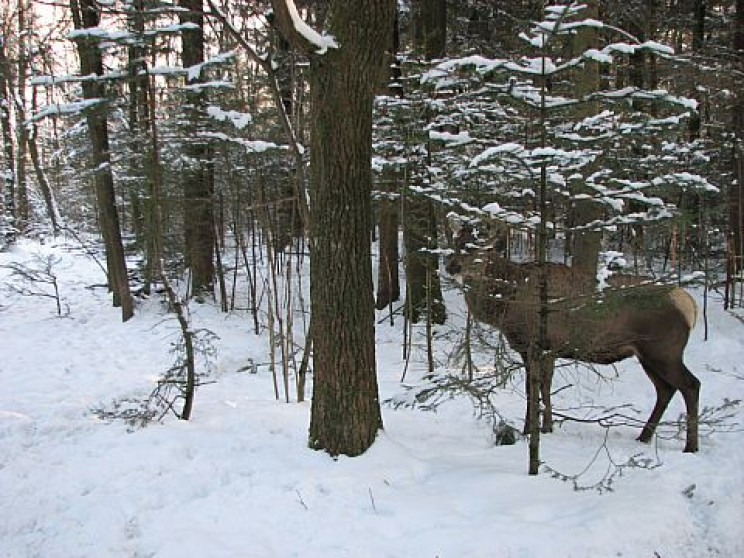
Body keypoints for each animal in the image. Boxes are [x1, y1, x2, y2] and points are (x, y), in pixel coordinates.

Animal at [444, 221, 700, 452]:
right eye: (455, 243)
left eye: (478, 248)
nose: (452, 266)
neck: (505, 306)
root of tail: (689, 304)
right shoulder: (530, 349)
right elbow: (535, 388)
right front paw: (538, 428)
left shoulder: (542, 345)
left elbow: (538, 388)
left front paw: (537, 430)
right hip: (647, 355)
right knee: (665, 390)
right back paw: (644, 437)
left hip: (663, 350)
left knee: (691, 385)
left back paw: (690, 446)